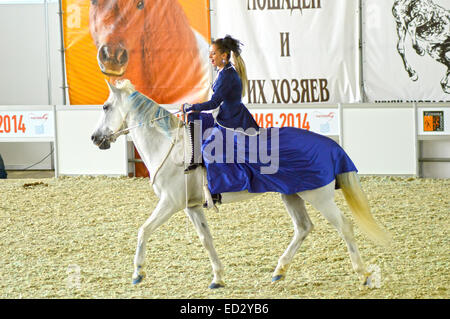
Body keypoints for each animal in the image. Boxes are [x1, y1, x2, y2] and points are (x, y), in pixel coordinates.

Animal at [91, 80, 390, 290]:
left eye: (105, 106)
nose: (95, 138)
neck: (172, 147)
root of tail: (331, 145)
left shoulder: (169, 203)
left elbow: (143, 230)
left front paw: (138, 273)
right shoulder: (192, 207)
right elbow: (206, 239)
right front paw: (217, 277)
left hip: (319, 196)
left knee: (344, 226)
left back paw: (363, 274)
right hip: (292, 195)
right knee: (304, 228)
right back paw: (279, 271)